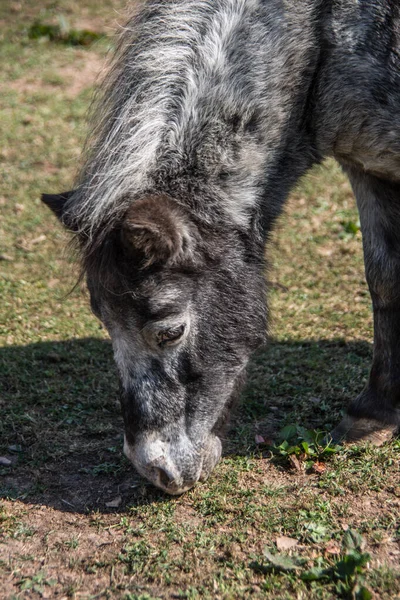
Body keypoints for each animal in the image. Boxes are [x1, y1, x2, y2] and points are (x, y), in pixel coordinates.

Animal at [43, 2, 400, 494]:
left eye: (171, 331)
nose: (154, 469)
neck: (325, 31)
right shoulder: (367, 166)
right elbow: (384, 279)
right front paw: (375, 414)